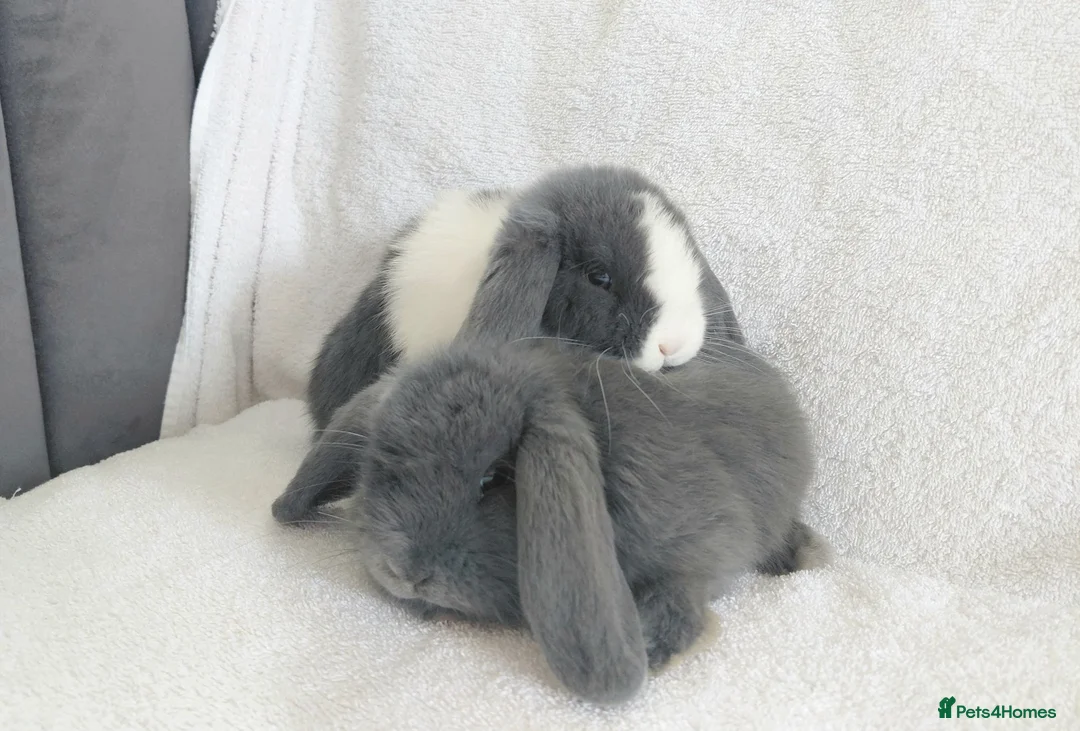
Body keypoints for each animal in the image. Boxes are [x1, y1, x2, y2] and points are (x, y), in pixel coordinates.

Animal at [274, 334, 818, 704]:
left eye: (495, 478)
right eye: (378, 467)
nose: (403, 573)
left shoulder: (699, 544)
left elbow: (684, 595)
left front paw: (651, 645)